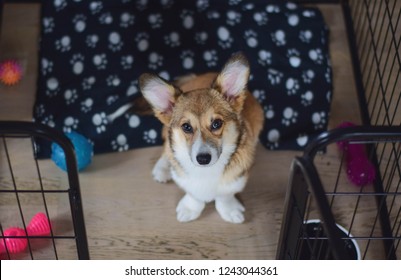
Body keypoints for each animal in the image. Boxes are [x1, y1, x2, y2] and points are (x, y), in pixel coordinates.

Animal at [139, 53, 264, 223]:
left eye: (217, 123)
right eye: (186, 127)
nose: (203, 159)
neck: (206, 172)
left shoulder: (235, 179)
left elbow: (225, 195)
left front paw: (230, 210)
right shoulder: (186, 181)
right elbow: (194, 195)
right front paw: (190, 209)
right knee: (166, 149)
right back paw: (162, 168)